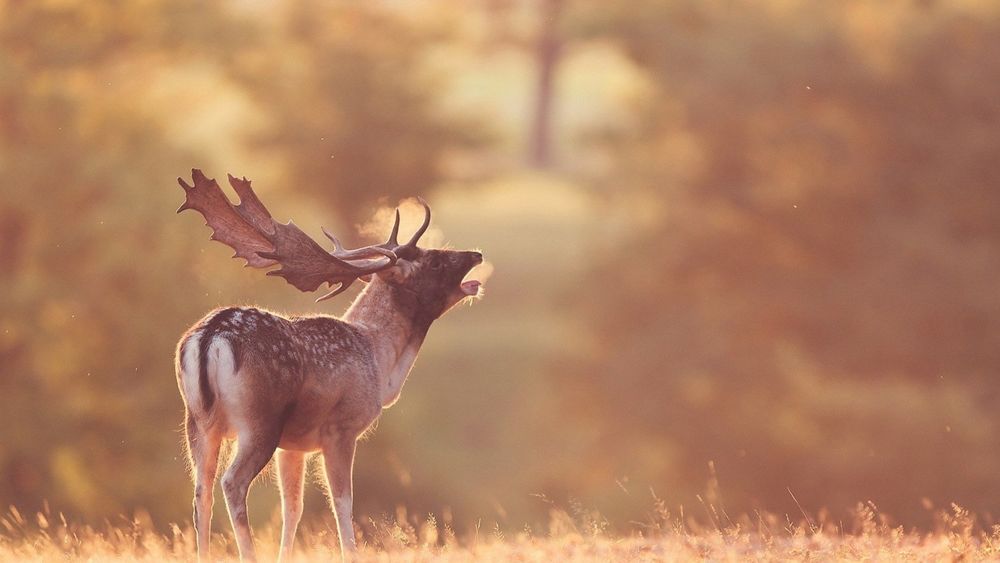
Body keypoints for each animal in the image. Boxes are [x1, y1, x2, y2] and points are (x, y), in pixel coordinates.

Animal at [173, 169, 484, 562]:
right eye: (435, 261)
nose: (476, 253)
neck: (380, 363)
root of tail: (209, 337)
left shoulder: (293, 446)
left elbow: (293, 508)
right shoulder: (341, 429)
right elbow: (342, 503)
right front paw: (350, 552)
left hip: (198, 422)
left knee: (202, 491)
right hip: (259, 422)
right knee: (232, 482)